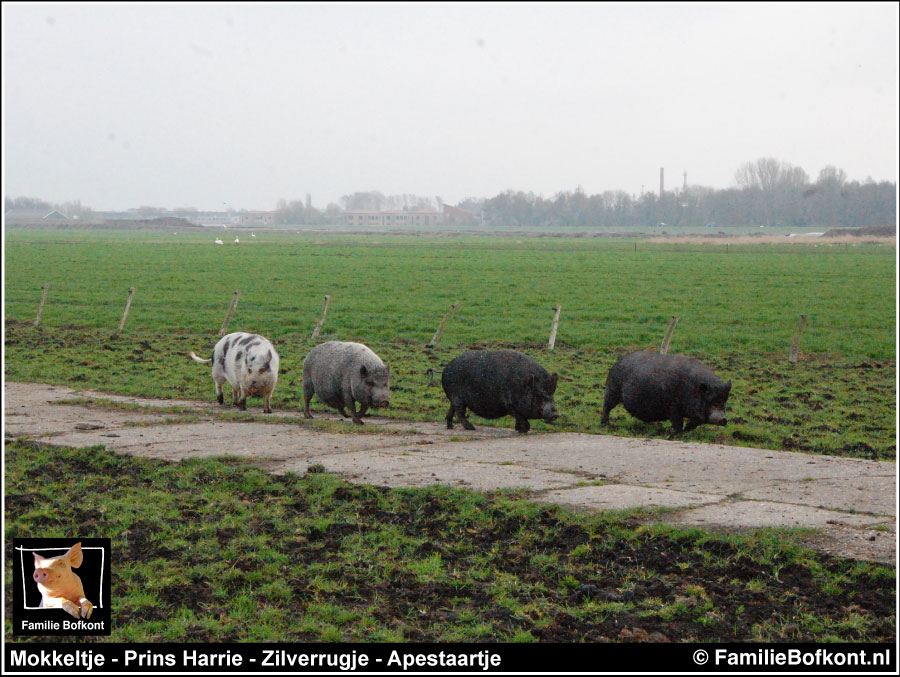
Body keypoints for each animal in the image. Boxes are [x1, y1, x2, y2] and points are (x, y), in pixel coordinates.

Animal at [596, 348, 732, 434]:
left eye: (724, 401)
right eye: (711, 401)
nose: (723, 419)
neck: (692, 389)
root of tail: (619, 360)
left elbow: (694, 423)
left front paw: (686, 431)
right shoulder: (672, 406)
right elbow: (677, 421)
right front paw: (676, 434)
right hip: (612, 389)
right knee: (606, 406)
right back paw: (606, 425)